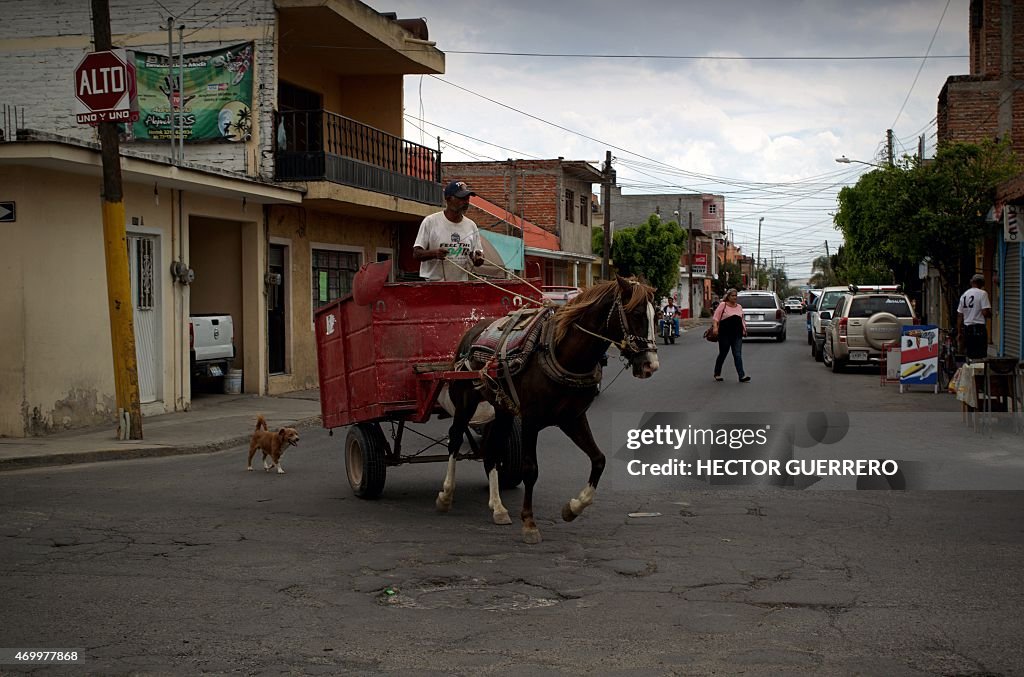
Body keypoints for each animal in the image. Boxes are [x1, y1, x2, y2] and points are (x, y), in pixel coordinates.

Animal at [434, 272, 659, 540]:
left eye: (655, 315)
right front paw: (529, 523)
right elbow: (531, 469)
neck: (562, 354)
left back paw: (498, 507)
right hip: (465, 402)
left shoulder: (573, 418)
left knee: (492, 450)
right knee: (455, 439)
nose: (650, 365)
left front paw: (573, 508)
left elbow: (599, 459)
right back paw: (446, 495)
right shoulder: (531, 420)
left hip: (503, 410)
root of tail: (472, 331)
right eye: (636, 313)